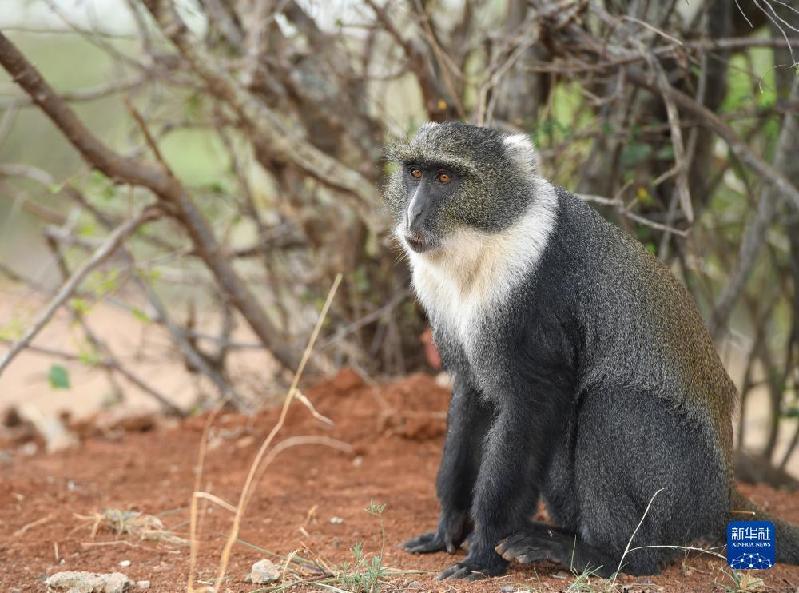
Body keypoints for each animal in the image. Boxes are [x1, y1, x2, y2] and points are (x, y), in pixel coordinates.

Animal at [382, 120, 799, 580]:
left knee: (610, 405)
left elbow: (532, 405)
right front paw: (450, 525)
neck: (484, 239)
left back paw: (607, 555)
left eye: (445, 178)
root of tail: (724, 498)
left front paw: (483, 553)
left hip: (682, 487)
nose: (413, 214)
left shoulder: (535, 303)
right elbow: (473, 400)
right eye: (415, 173)